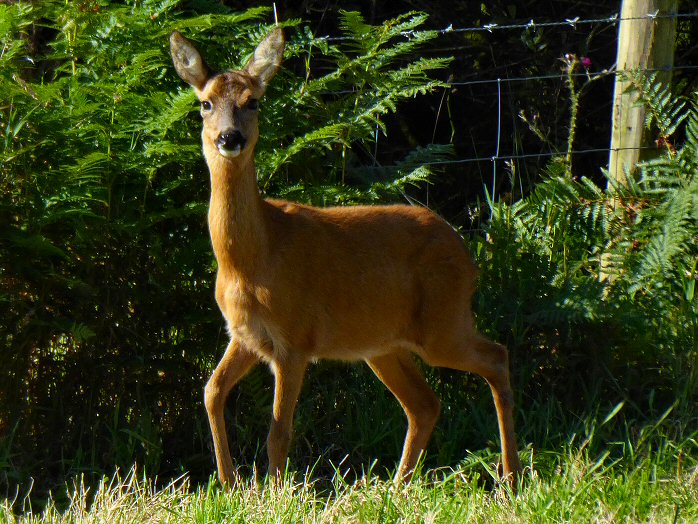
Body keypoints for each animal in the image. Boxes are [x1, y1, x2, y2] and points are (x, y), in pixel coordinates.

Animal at [167, 26, 516, 486]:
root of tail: (467, 252)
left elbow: (279, 430)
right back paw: (400, 487)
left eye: (253, 101)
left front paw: (271, 492)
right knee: (425, 403)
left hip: (443, 323)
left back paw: (511, 478)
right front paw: (229, 484)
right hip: (382, 344)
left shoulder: (294, 338)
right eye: (205, 103)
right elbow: (211, 392)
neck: (252, 259)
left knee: (496, 357)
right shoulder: (244, 335)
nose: (230, 138)